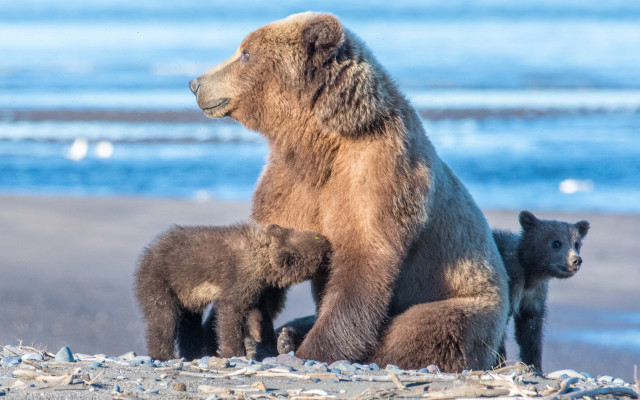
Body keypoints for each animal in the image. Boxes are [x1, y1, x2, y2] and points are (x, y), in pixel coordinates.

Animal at [135, 223, 331, 361]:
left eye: (316, 236)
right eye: (320, 250)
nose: (329, 242)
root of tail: (147, 254)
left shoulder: (256, 288)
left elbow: (257, 313)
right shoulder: (238, 278)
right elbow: (230, 312)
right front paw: (235, 351)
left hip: (188, 296)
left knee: (189, 323)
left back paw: (195, 353)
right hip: (161, 280)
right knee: (163, 317)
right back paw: (162, 354)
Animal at [189, 12, 509, 371]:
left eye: (246, 53)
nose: (196, 83)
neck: (318, 143)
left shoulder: (376, 177)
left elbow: (362, 262)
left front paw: (315, 350)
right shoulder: (290, 184)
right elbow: (272, 248)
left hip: (467, 300)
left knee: (426, 328)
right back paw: (288, 333)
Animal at [493, 211, 590, 371]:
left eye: (577, 243)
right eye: (556, 243)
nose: (576, 260)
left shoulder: (533, 294)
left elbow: (530, 330)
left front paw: (534, 365)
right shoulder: (510, 280)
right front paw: (498, 362)